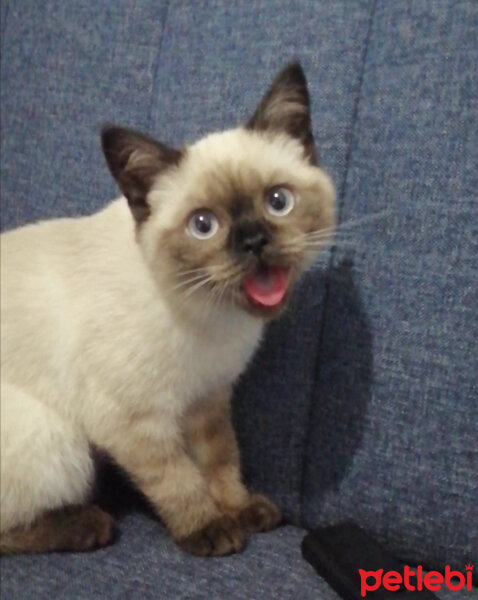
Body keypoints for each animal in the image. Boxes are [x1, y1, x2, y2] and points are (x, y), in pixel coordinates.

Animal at [0, 63, 336, 556]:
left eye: (278, 201)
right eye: (204, 225)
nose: (253, 242)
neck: (212, 317)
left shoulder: (207, 397)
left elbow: (221, 460)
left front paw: (239, 510)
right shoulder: (134, 419)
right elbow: (177, 479)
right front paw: (210, 528)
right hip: (59, 443)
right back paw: (91, 525)